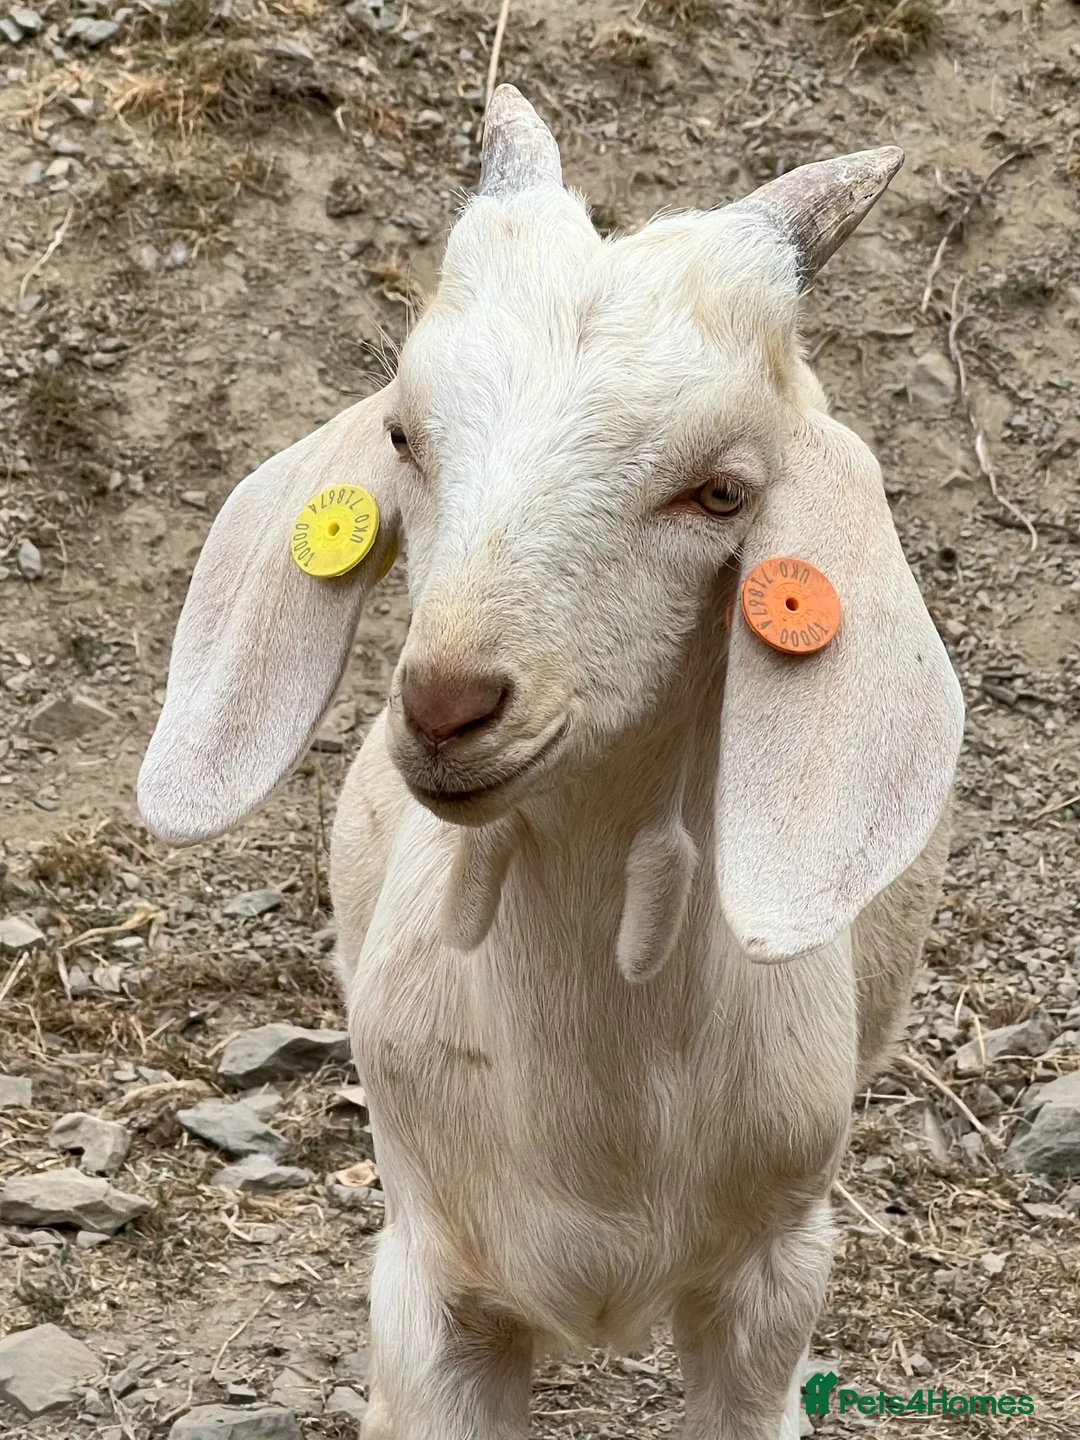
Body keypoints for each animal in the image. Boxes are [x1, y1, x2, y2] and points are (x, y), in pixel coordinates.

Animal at [139, 87, 964, 1440]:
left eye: (722, 491)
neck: (597, 1133)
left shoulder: (774, 1285)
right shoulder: (428, 1289)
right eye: (404, 435)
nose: (449, 706)